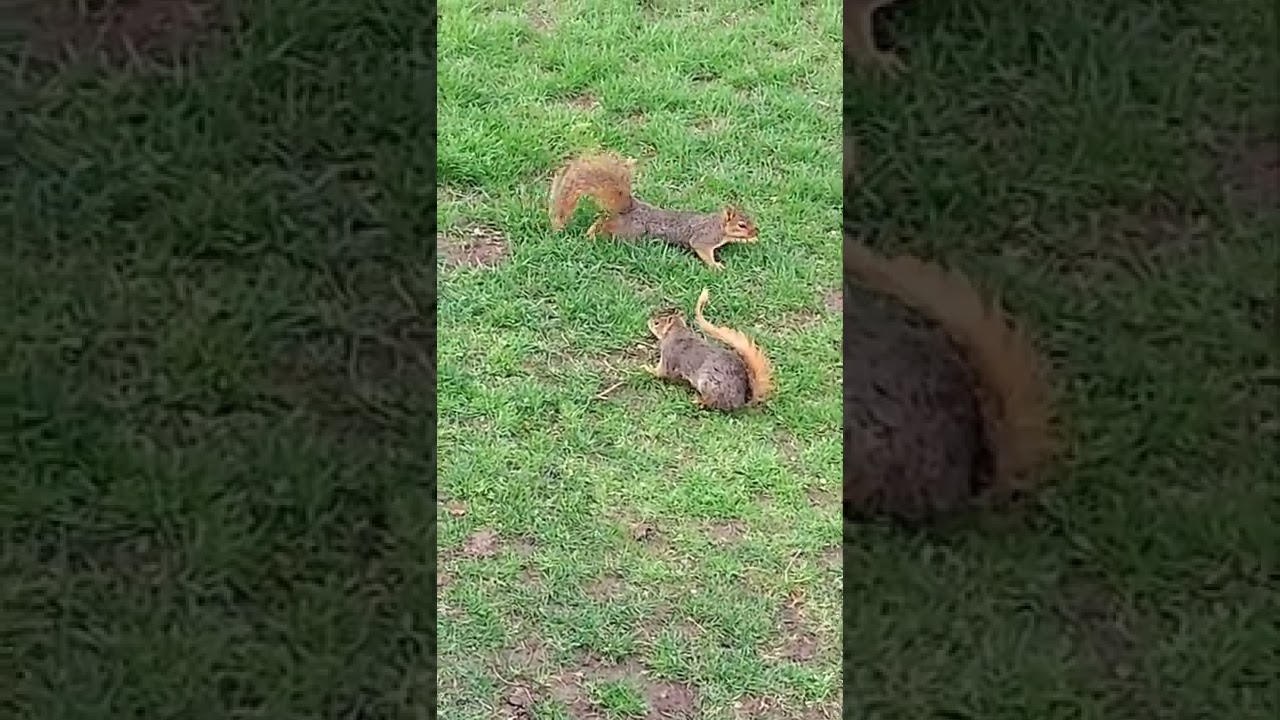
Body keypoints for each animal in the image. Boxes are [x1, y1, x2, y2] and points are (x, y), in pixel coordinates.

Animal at [549, 151, 760, 271]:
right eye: (741, 224)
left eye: (750, 220)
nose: (755, 231)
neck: (719, 226)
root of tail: (632, 208)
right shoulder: (705, 238)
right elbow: (702, 250)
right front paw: (716, 266)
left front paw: (751, 240)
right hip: (629, 230)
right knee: (606, 225)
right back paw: (593, 235)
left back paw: (591, 232)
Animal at [644, 288, 774, 411]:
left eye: (656, 323)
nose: (649, 321)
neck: (676, 331)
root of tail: (741, 402)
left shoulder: (669, 354)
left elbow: (663, 372)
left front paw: (648, 369)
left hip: (708, 384)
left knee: (712, 402)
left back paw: (699, 400)